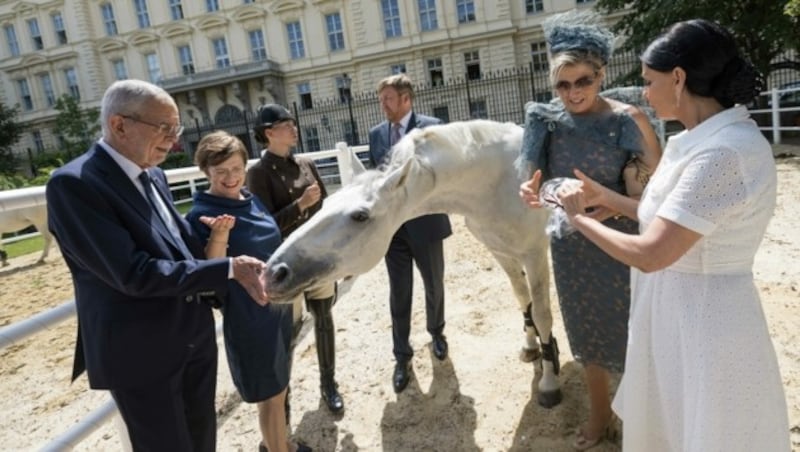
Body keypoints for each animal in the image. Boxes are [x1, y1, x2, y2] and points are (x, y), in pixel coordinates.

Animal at [262, 119, 564, 406]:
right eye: (325, 203)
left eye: (360, 216)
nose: (273, 273)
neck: (501, 180)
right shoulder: (501, 251)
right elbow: (523, 299)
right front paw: (531, 348)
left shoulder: (535, 253)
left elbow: (542, 313)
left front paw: (549, 380)